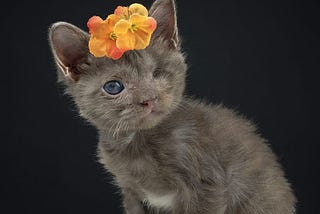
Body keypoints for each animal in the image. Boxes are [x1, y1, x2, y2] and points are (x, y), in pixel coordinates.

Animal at [48, 0, 296, 212]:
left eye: (157, 73)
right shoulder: (132, 193)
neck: (139, 145)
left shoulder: (208, 186)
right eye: (113, 87)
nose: (149, 98)